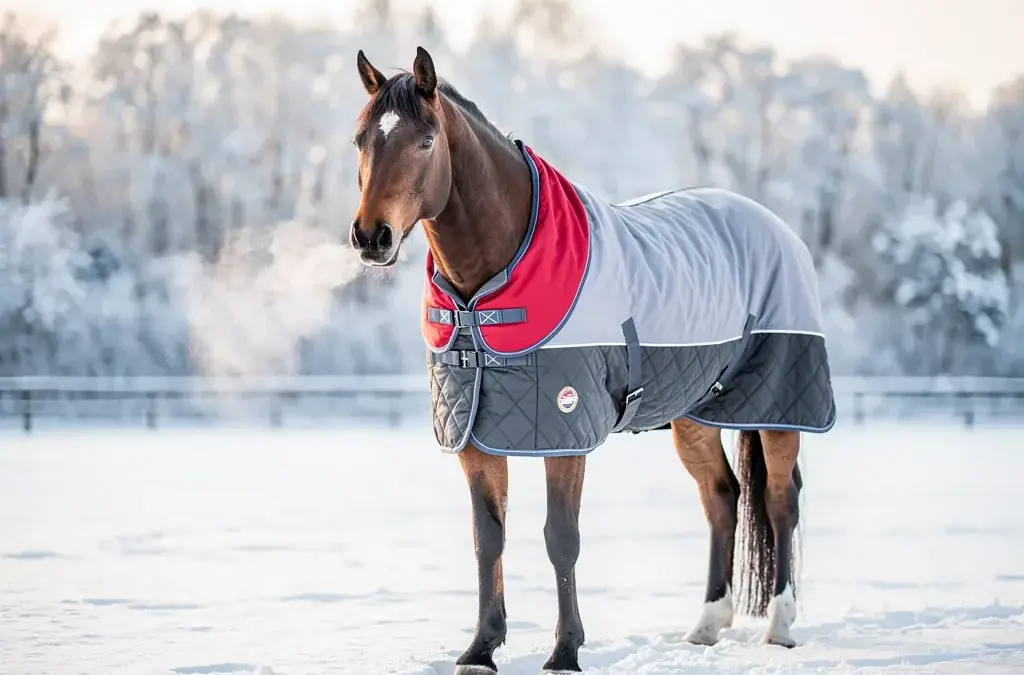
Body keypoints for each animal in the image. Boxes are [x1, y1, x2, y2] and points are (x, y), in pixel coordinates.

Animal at [348, 46, 836, 674]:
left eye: (426, 141)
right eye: (360, 139)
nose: (371, 237)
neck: (489, 289)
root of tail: (776, 228)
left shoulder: (565, 432)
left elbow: (562, 538)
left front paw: (565, 651)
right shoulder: (475, 436)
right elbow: (489, 539)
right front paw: (481, 647)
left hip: (779, 406)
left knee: (778, 500)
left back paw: (778, 625)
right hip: (693, 415)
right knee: (722, 498)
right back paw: (707, 624)